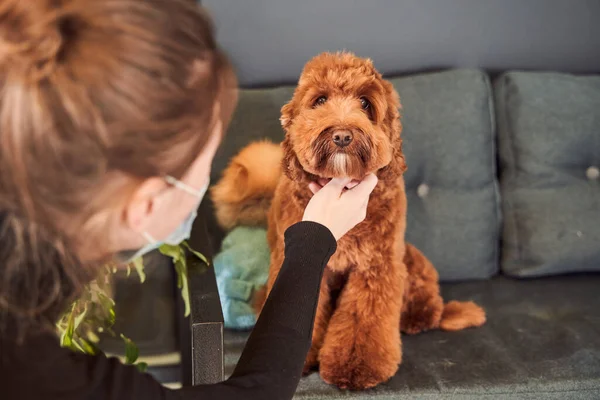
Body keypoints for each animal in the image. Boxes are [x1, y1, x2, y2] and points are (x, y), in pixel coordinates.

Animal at [213, 51, 486, 390]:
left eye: (366, 104)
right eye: (319, 100)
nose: (342, 135)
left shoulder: (376, 265)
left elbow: (362, 318)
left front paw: (355, 366)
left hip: (409, 258)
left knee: (429, 304)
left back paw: (418, 318)